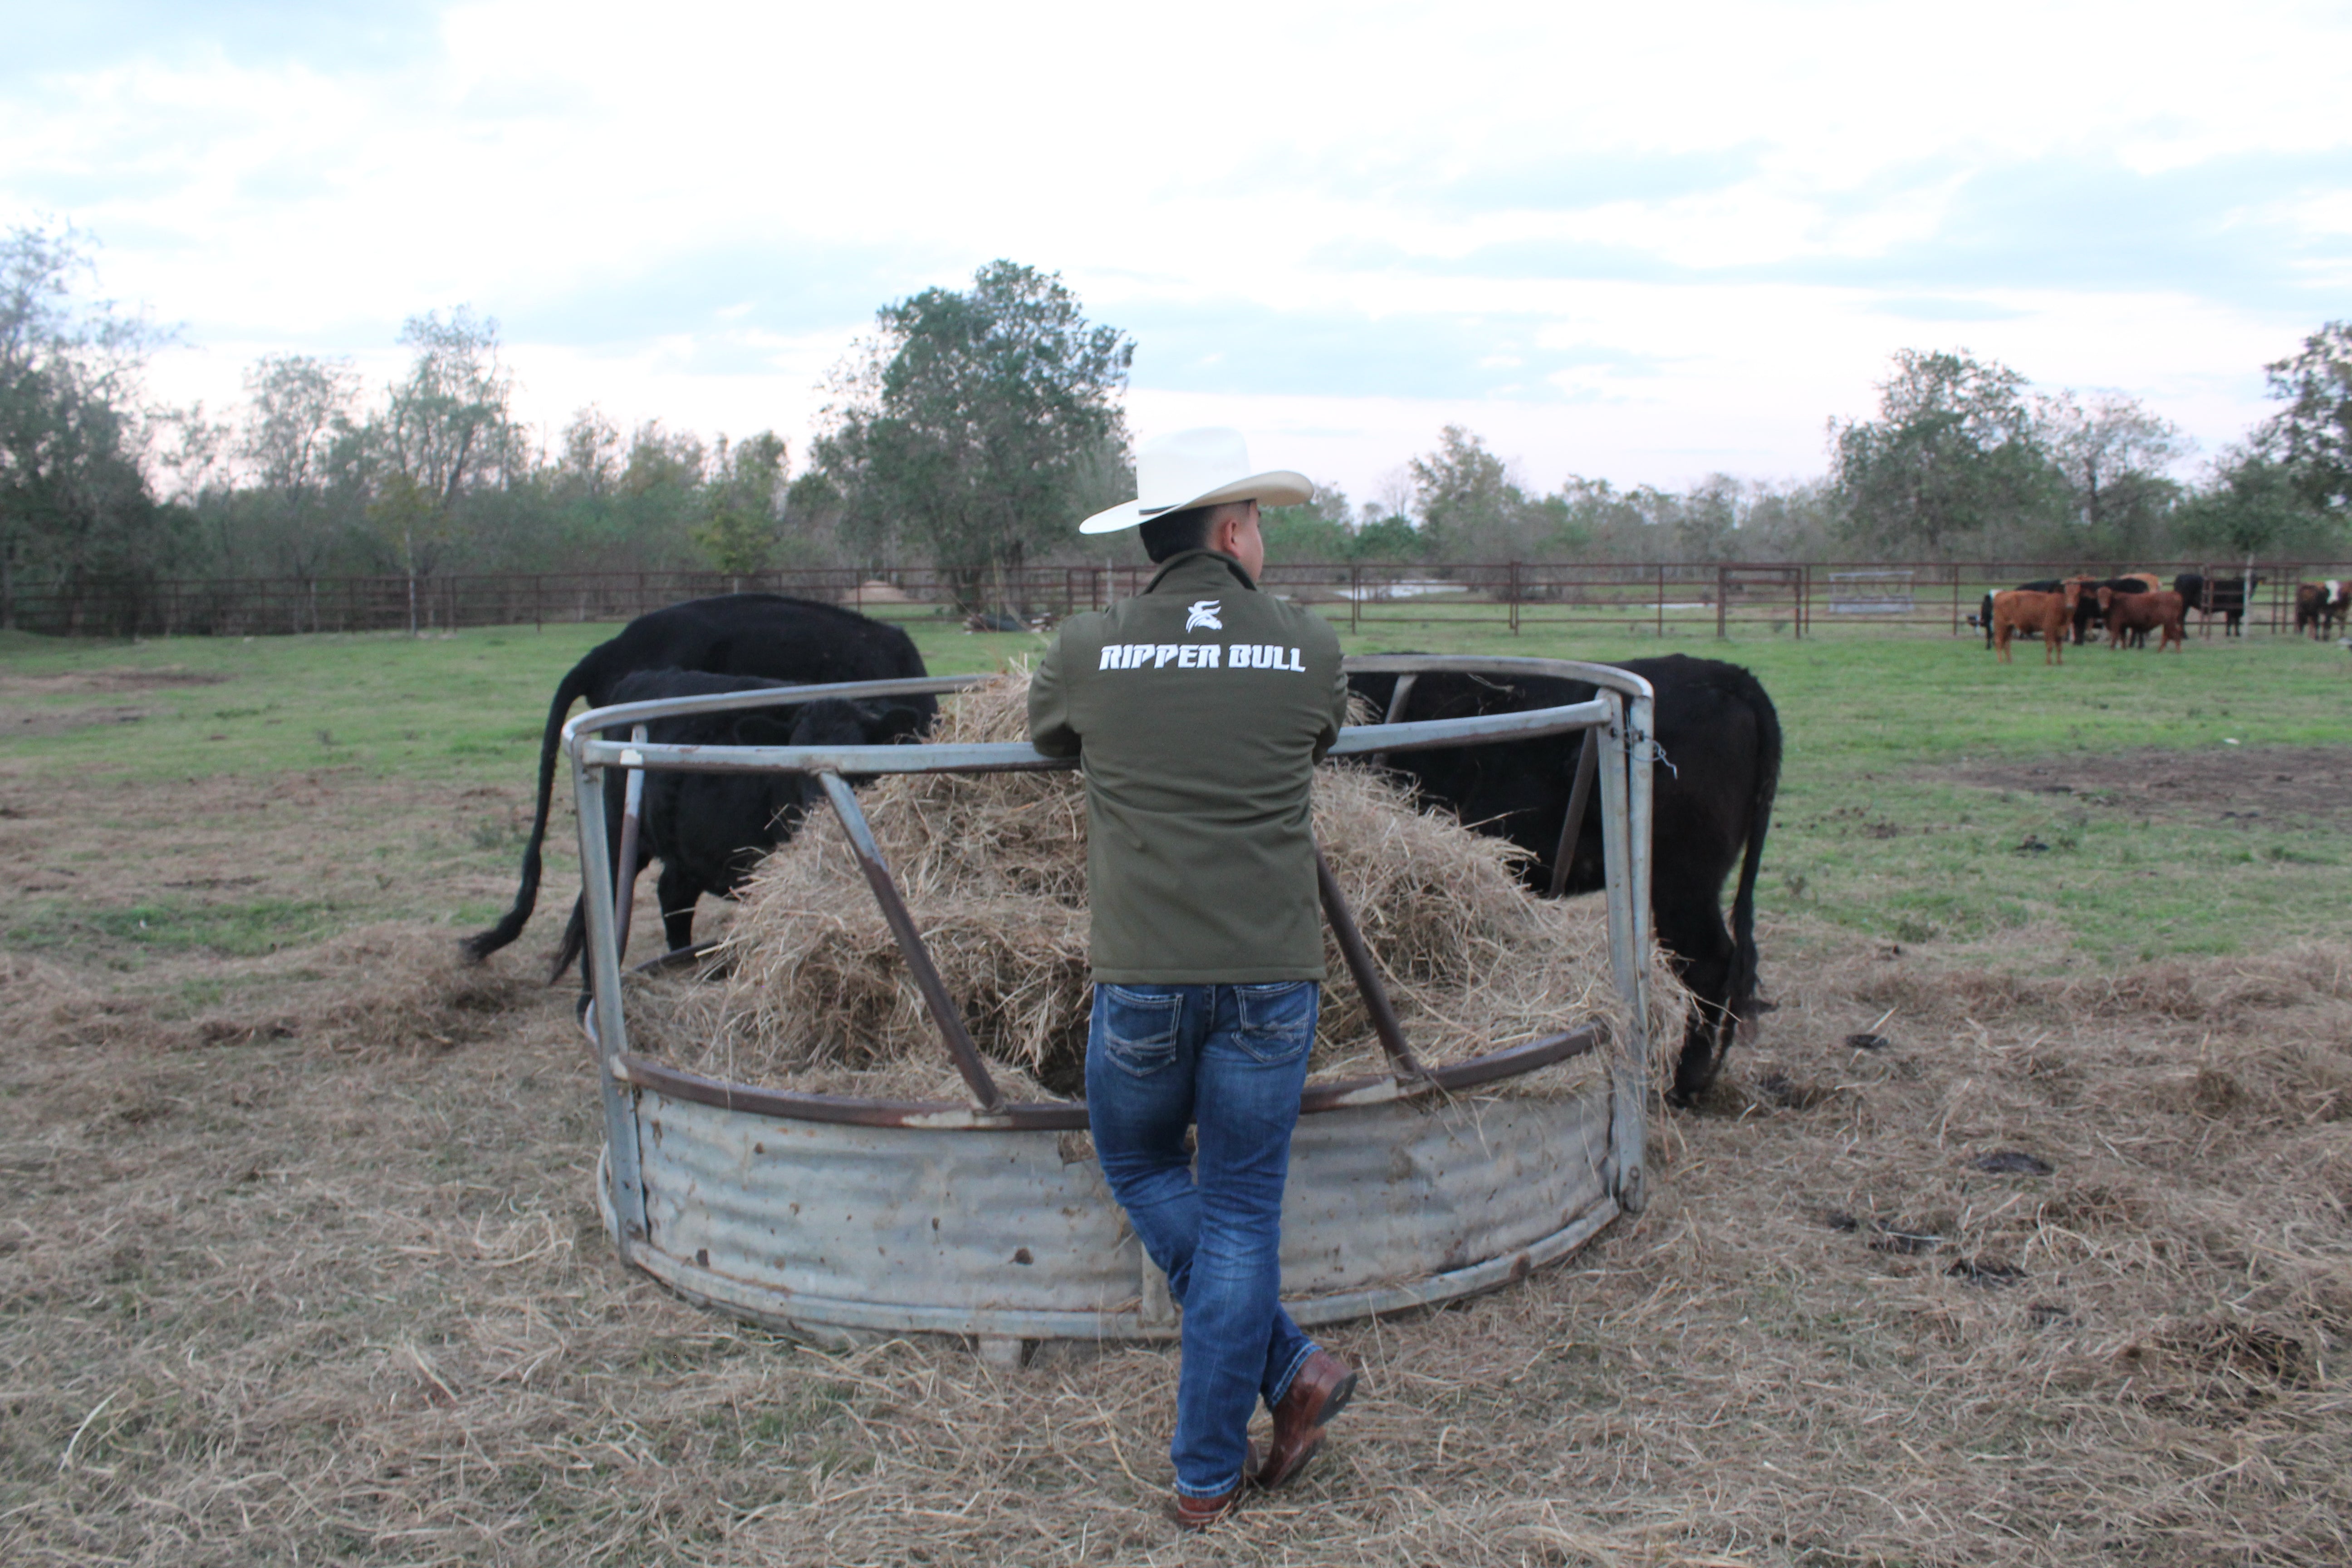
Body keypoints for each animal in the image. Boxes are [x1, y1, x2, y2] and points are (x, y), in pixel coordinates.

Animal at [1985, 585, 2079, 667]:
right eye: (2067, 594)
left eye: (2077, 594)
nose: (2070, 606)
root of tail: (2001, 594)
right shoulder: (2049, 628)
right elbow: (2050, 646)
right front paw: (2049, 663)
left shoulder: (2060, 631)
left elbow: (2060, 647)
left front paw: (2060, 663)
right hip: (2001, 626)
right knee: (1999, 642)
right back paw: (2001, 661)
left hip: (2009, 628)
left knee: (2007, 644)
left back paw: (2010, 661)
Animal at [2107, 585, 2192, 653]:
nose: (2104, 606)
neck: (2115, 602)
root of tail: (2175, 594)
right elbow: (2122, 636)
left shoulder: (2117, 623)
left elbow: (2116, 635)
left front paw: (2113, 649)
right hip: (2168, 623)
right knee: (2168, 635)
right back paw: (2160, 651)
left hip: (2170, 623)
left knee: (2174, 634)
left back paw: (2176, 651)